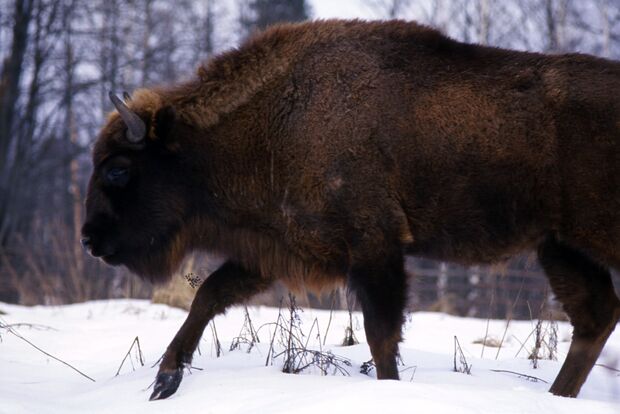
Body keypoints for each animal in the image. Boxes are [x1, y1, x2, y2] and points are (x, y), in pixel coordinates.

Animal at [82, 19, 620, 402]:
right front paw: (164, 381)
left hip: (590, 238)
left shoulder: (375, 250)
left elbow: (381, 335)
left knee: (595, 315)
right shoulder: (279, 249)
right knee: (595, 316)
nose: (88, 239)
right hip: (560, 247)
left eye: (118, 170)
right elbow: (209, 295)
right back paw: (557, 397)